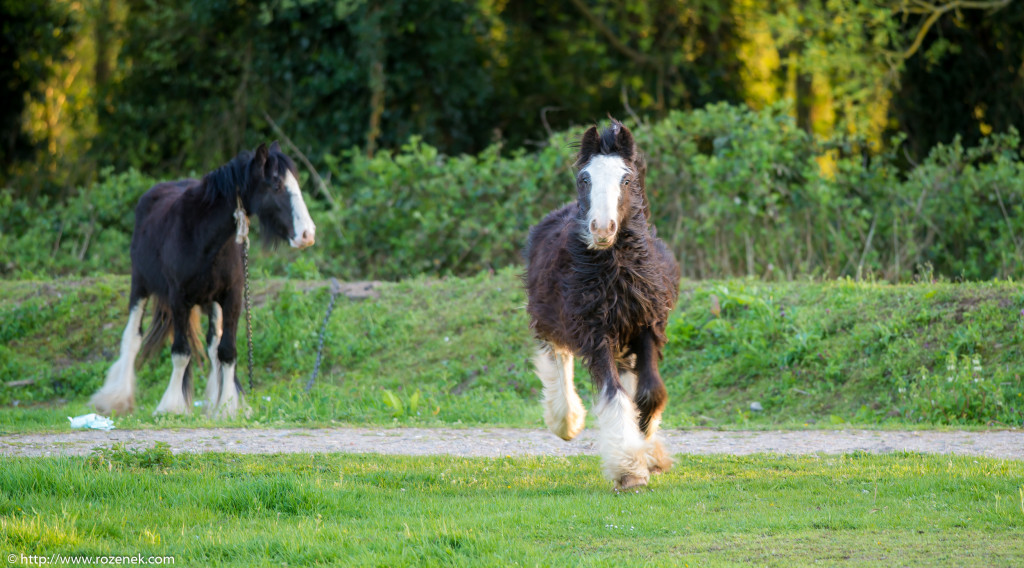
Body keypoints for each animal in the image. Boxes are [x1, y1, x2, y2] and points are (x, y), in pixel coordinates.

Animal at [91, 142, 315, 417]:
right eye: (276, 185)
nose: (307, 234)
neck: (201, 236)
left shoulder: (232, 296)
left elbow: (226, 351)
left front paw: (228, 407)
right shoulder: (178, 299)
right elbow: (180, 352)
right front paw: (171, 406)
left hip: (211, 302)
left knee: (212, 344)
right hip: (140, 286)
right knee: (132, 337)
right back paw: (115, 399)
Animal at [528, 122, 679, 491]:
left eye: (626, 179)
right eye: (585, 179)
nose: (601, 228)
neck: (616, 269)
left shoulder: (647, 326)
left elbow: (650, 392)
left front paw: (645, 441)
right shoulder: (595, 333)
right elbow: (614, 394)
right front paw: (629, 468)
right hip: (553, 320)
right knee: (558, 359)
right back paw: (566, 420)